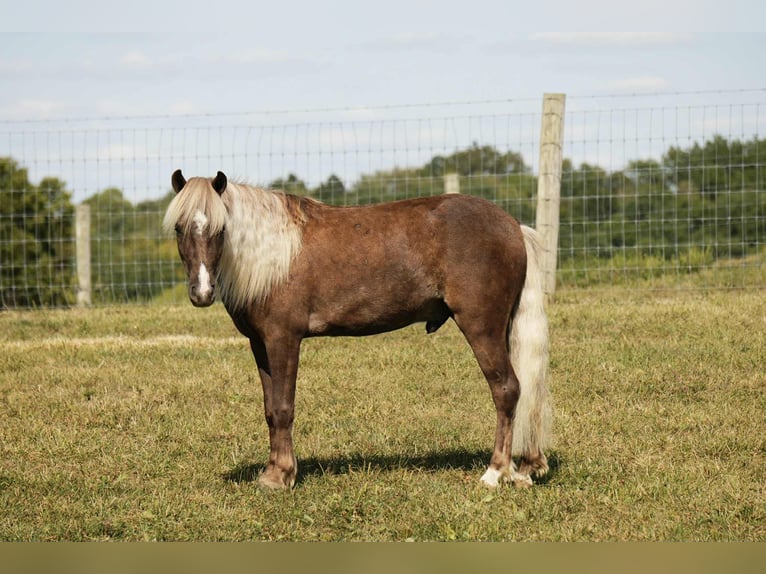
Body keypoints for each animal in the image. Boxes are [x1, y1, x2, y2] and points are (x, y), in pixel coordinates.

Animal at [163, 169, 551, 490]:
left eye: (220, 229)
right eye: (180, 228)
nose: (202, 293)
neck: (273, 256)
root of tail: (514, 227)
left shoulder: (283, 339)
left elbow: (285, 407)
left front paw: (283, 476)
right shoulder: (260, 344)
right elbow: (271, 409)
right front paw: (273, 472)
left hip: (482, 327)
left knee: (506, 389)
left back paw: (495, 473)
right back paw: (524, 468)